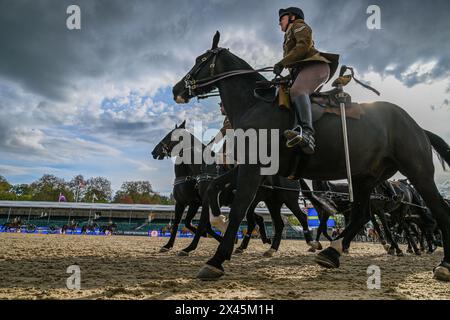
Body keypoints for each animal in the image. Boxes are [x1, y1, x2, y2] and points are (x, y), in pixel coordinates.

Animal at [171, 30, 450, 280]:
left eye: (200, 59)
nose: (176, 89)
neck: (254, 104)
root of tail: (416, 126)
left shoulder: (253, 168)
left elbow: (240, 208)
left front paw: (217, 259)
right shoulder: (248, 166)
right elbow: (213, 189)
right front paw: (218, 221)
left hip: (418, 172)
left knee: (439, 210)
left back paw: (443, 264)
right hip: (365, 178)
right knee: (361, 215)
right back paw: (332, 252)